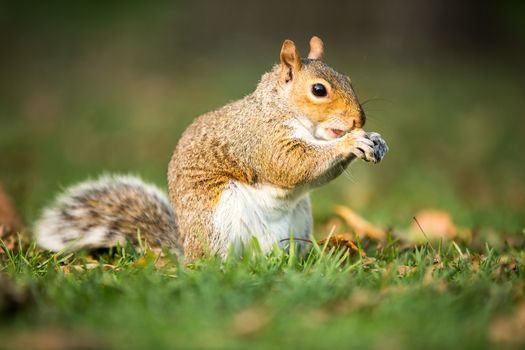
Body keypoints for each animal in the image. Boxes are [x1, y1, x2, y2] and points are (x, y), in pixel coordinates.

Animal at [32, 37, 384, 262]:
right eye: (318, 90)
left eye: (348, 78)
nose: (359, 119)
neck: (279, 108)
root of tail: (187, 250)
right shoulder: (260, 139)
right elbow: (291, 164)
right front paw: (351, 142)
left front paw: (375, 139)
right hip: (218, 221)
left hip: (299, 221)